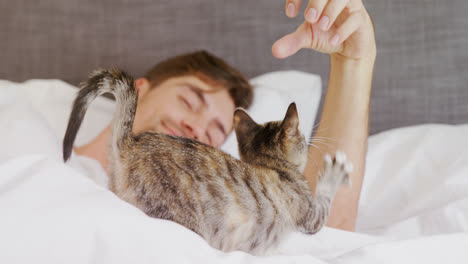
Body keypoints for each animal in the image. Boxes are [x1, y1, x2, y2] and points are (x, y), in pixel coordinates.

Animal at [62, 69, 352, 255]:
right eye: (301, 134)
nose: (311, 136)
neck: (272, 167)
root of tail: (130, 142)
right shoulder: (309, 214)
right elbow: (324, 200)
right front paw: (334, 171)